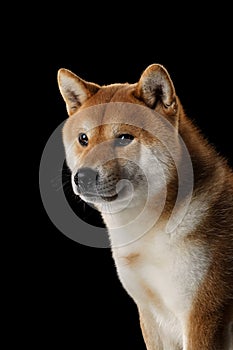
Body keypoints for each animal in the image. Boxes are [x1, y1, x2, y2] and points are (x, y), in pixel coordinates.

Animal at [57, 64, 233, 348]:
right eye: (83, 138)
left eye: (123, 138)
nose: (82, 176)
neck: (151, 233)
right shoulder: (151, 314)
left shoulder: (203, 314)